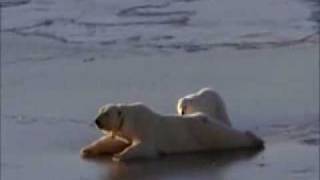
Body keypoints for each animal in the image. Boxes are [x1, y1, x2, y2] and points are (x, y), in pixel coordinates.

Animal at [83, 102, 264, 160]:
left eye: (107, 113)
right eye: (100, 111)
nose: (97, 121)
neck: (131, 119)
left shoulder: (146, 129)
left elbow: (145, 147)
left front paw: (119, 156)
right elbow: (115, 142)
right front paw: (87, 150)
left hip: (206, 132)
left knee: (226, 137)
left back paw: (254, 139)